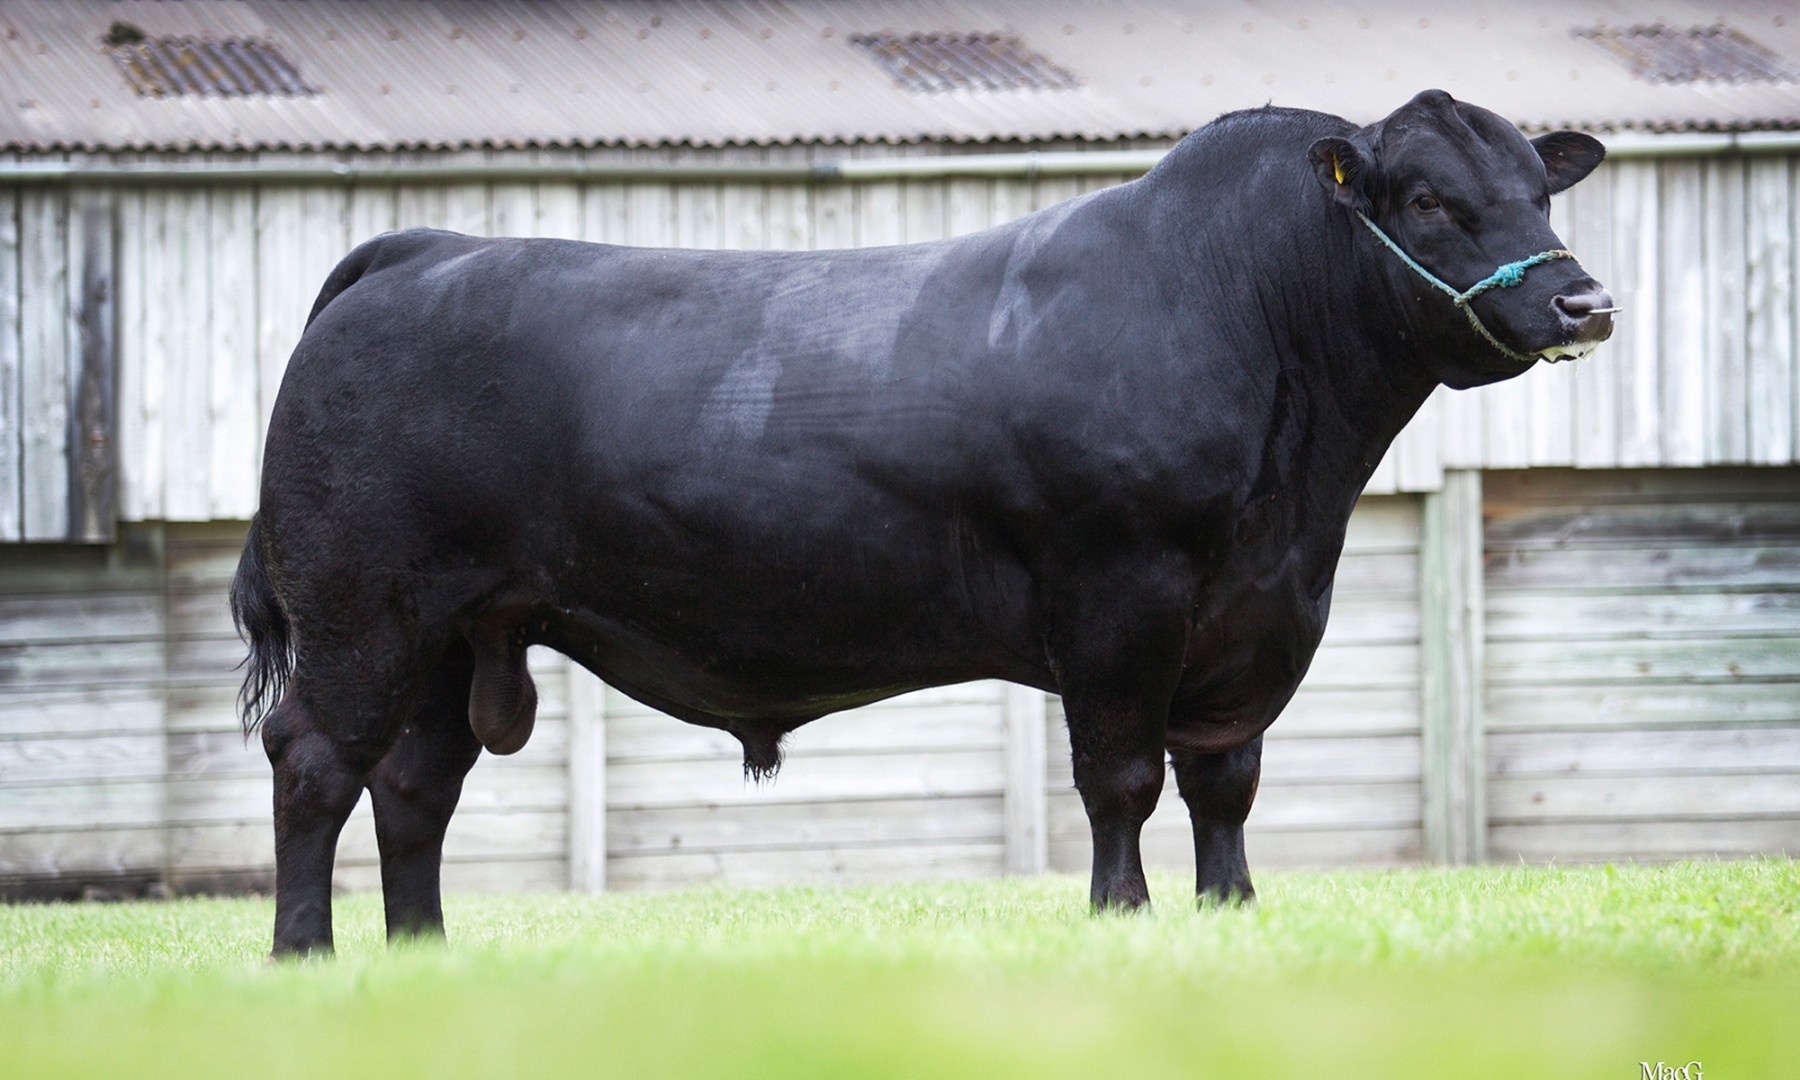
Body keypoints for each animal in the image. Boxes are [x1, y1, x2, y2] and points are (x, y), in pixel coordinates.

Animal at [233, 90, 1612, 957]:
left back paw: (423, 958)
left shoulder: (1259, 614)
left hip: (452, 631)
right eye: (1428, 199)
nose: (1584, 301)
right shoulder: (1122, 590)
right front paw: (1124, 922)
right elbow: (1121, 776)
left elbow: (1226, 779)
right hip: (363, 609)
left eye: (1541, 191)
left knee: (413, 786)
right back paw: (306, 956)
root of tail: (421, 249)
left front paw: (1233, 918)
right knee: (314, 762)